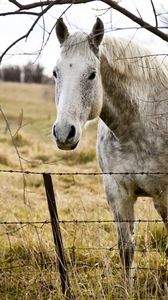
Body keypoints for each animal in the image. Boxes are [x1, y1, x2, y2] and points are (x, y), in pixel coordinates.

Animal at [52, 18, 168, 276]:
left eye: (92, 75)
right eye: (55, 72)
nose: (64, 132)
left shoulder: (164, 195)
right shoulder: (118, 192)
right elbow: (126, 250)